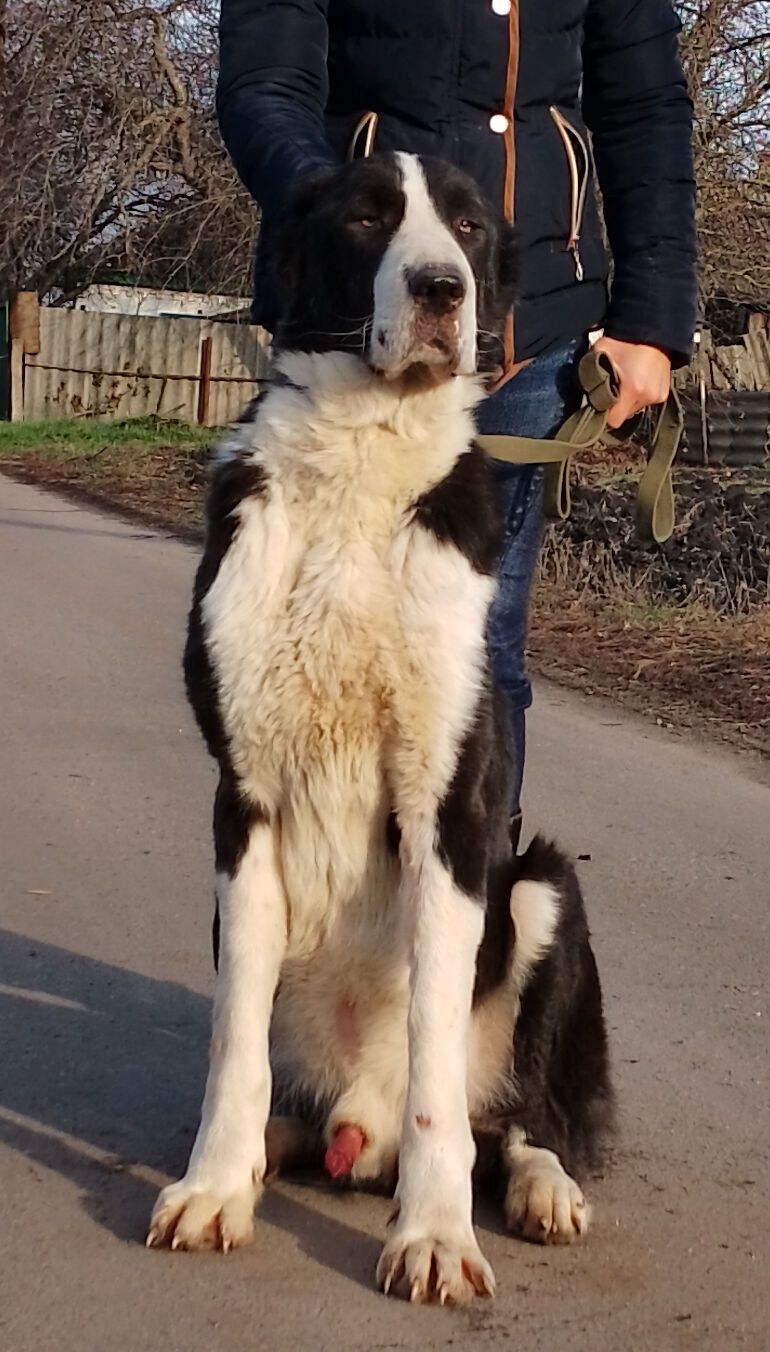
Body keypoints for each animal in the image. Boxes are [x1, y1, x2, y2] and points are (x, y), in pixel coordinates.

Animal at [145, 153, 610, 1303]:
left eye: (469, 223)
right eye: (365, 217)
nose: (444, 290)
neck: (361, 454)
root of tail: (358, 1129)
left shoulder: (450, 809)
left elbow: (436, 1051)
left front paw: (435, 1233)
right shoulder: (243, 803)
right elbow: (233, 1036)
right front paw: (214, 1186)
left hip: (540, 883)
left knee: (519, 1119)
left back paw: (539, 1186)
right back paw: (269, 1147)